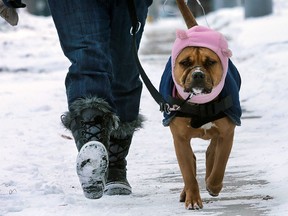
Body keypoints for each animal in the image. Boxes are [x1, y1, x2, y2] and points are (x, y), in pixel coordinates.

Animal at [159, 0, 242, 209]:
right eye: (185, 62)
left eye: (210, 62)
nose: (197, 74)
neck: (200, 103)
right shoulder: (180, 140)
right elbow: (188, 173)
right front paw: (193, 199)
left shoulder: (227, 134)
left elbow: (220, 164)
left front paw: (213, 185)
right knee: (194, 161)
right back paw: (185, 192)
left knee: (211, 152)